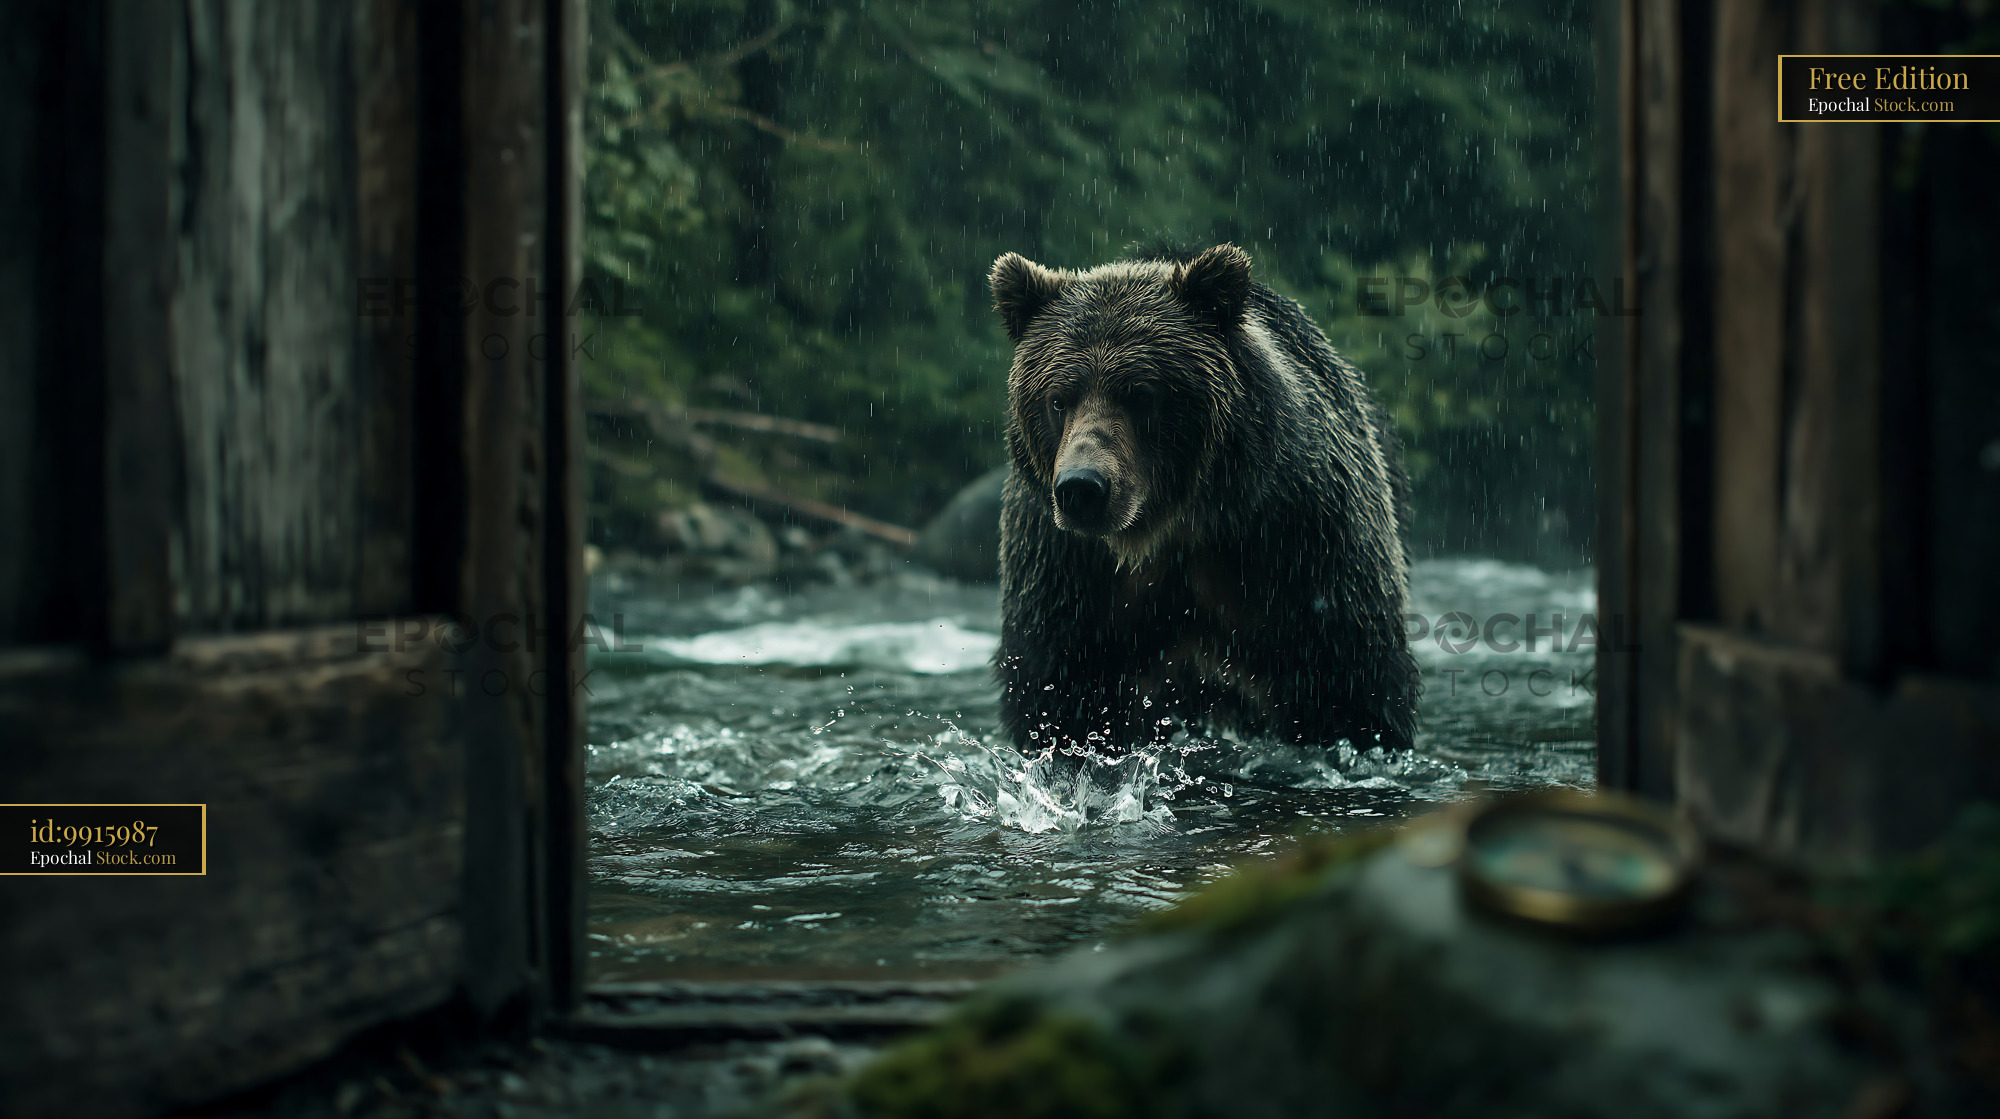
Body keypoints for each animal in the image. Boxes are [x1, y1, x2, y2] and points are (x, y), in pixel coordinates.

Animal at [988, 243, 1418, 754]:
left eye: (1140, 394)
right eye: (1058, 399)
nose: (1082, 488)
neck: (1171, 528)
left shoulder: (1300, 536)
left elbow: (1350, 685)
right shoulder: (1066, 570)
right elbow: (1058, 694)